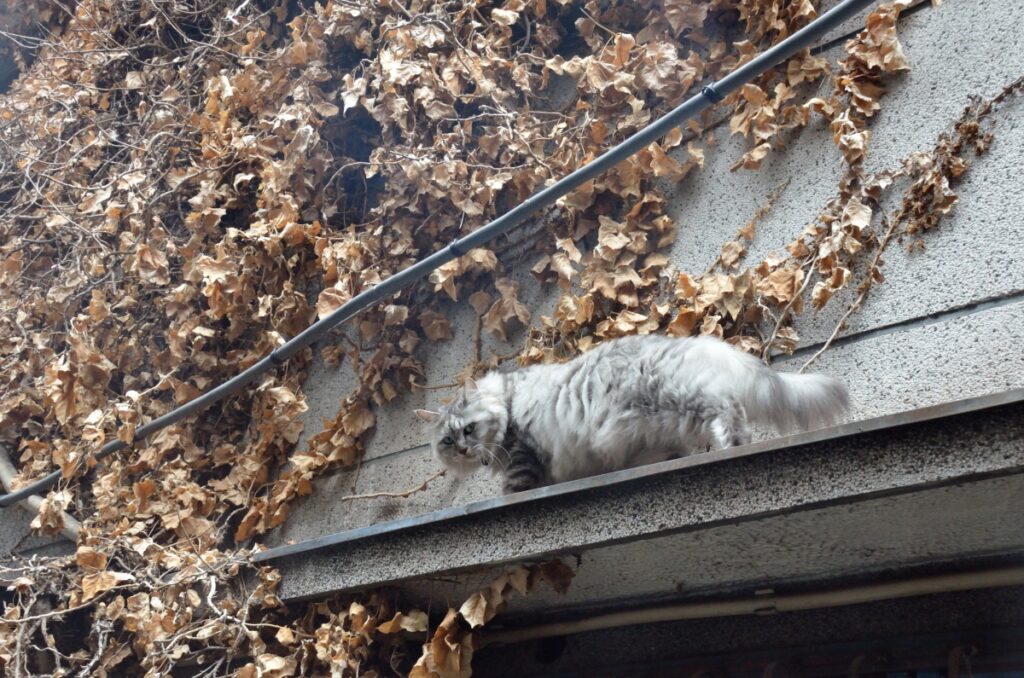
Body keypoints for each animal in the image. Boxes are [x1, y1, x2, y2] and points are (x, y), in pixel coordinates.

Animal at [415, 334, 849, 494]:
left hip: (680, 398)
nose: (464, 450)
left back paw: (731, 445)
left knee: (728, 411)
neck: (506, 397)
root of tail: (697, 341)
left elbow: (514, 490)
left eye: (470, 429)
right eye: (448, 441)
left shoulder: (523, 458)